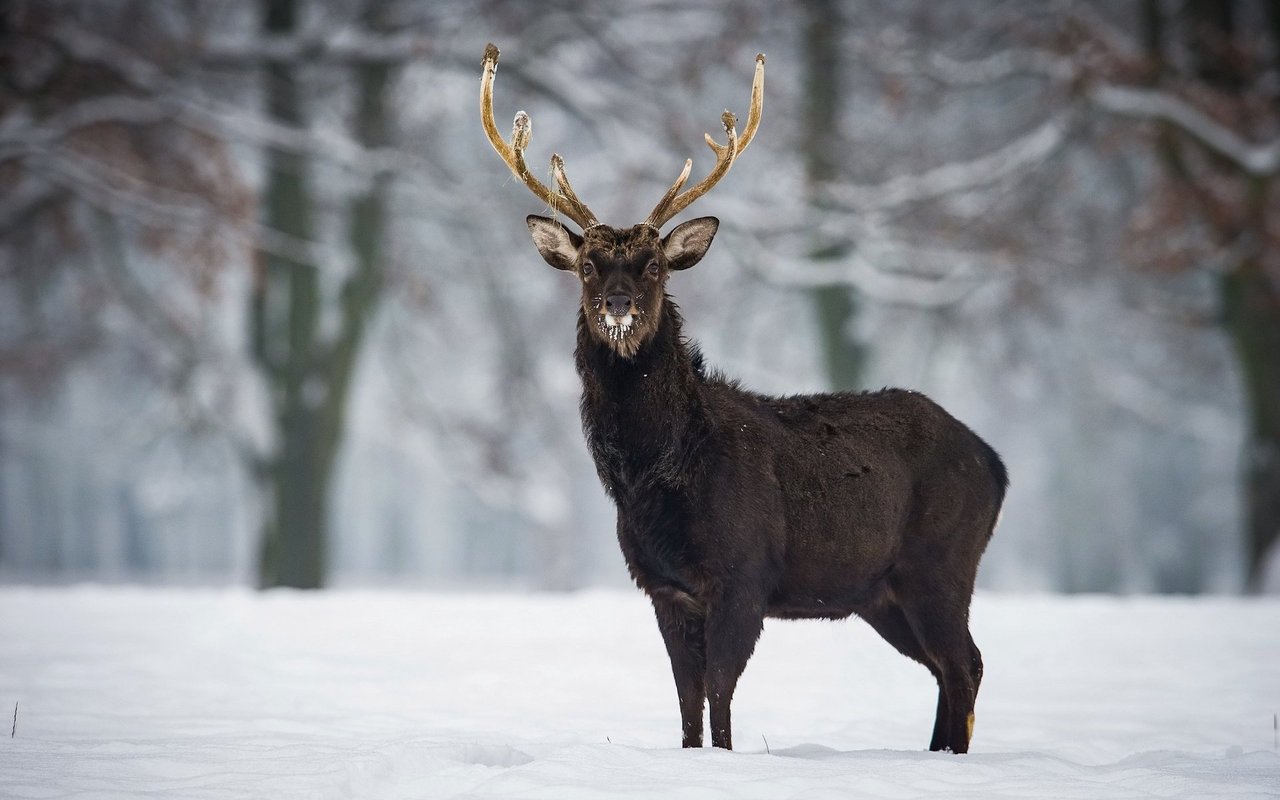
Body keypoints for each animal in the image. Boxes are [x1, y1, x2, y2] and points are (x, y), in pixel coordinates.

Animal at [481, 43, 1008, 752]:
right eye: (589, 265)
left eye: (654, 265)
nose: (618, 305)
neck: (660, 475)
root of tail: (996, 465)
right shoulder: (664, 586)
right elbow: (686, 701)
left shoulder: (743, 573)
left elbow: (720, 691)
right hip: (882, 592)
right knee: (946, 668)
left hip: (941, 562)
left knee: (965, 663)